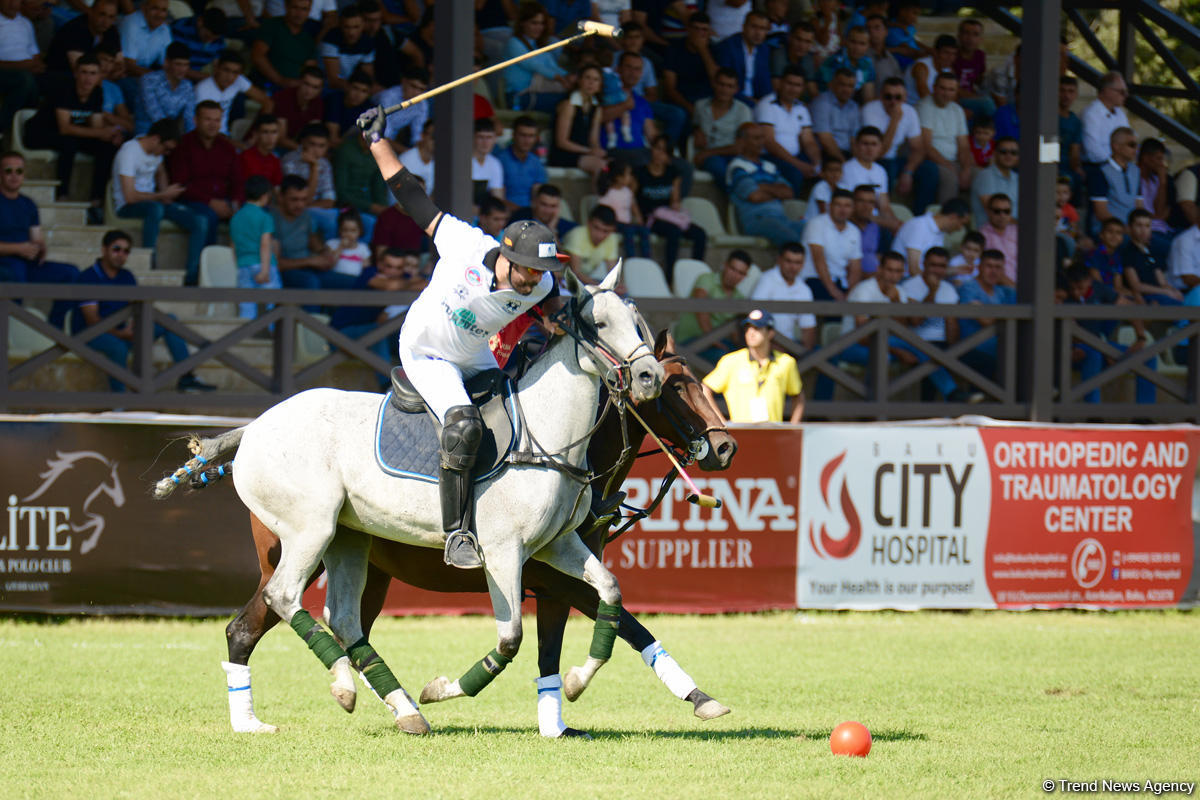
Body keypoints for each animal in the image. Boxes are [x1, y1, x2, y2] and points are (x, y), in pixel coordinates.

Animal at [153, 266, 662, 734]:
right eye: (598, 324)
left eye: (638, 320)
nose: (649, 376)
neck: (544, 438)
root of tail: (253, 427)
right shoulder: (504, 552)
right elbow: (511, 639)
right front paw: (441, 689)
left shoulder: (557, 545)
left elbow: (610, 592)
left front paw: (575, 682)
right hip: (309, 529)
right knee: (282, 597)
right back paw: (332, 692)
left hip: (348, 537)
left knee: (342, 617)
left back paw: (399, 707)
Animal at [220, 331, 734, 738]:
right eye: (674, 386)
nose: (726, 446)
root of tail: (252, 430)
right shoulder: (552, 580)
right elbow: (628, 626)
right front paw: (698, 698)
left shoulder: (556, 582)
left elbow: (567, 645)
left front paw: (558, 720)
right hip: (304, 544)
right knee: (248, 624)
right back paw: (255, 720)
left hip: (366, 567)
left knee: (346, 624)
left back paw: (392, 703)